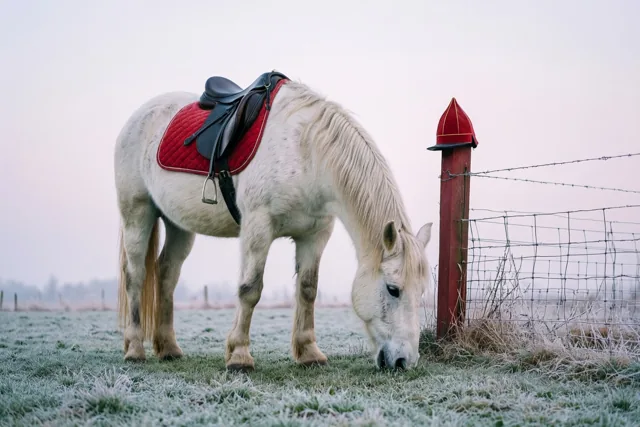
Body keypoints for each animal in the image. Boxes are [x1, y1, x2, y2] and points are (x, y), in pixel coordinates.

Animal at [113, 74, 433, 371]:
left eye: (421, 291)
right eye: (393, 289)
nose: (404, 361)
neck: (307, 152)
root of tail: (139, 116)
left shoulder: (315, 235)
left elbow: (308, 290)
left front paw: (309, 353)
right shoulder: (258, 227)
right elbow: (250, 289)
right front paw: (239, 356)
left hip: (178, 225)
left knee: (166, 275)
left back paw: (168, 348)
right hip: (137, 214)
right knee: (136, 276)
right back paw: (135, 349)